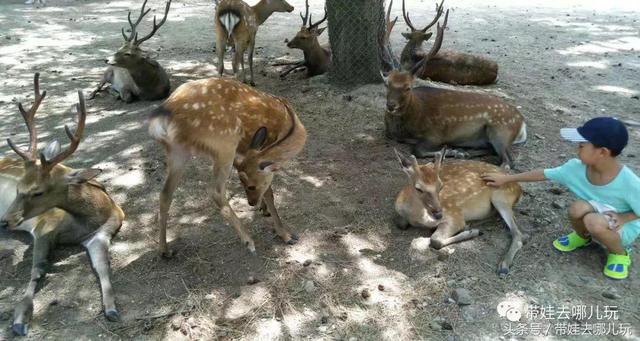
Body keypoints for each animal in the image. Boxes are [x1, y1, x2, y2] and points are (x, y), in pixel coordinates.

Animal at [0, 72, 125, 334]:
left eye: (38, 192)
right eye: (17, 187)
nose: (5, 221)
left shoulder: (100, 235)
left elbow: (104, 268)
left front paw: (112, 310)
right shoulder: (44, 226)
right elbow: (37, 269)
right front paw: (20, 319)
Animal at [149, 77, 306, 256]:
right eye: (250, 186)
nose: (251, 203)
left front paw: (264, 210)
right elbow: (269, 193)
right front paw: (286, 235)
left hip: (178, 151)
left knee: (165, 194)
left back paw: (164, 250)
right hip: (225, 143)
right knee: (215, 190)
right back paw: (249, 241)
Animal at [382, 9, 528, 169]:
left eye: (408, 87)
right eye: (387, 83)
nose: (391, 105)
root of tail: (522, 123)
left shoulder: (435, 133)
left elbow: (417, 150)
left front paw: (450, 151)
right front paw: (457, 152)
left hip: (500, 130)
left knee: (508, 161)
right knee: (492, 150)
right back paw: (466, 153)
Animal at [392, 149, 528, 274]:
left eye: (440, 186)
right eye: (418, 188)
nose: (439, 214)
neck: (417, 217)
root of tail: (519, 188)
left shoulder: (455, 215)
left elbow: (435, 240)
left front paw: (472, 231)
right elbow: (401, 224)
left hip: (501, 197)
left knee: (518, 234)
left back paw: (504, 265)